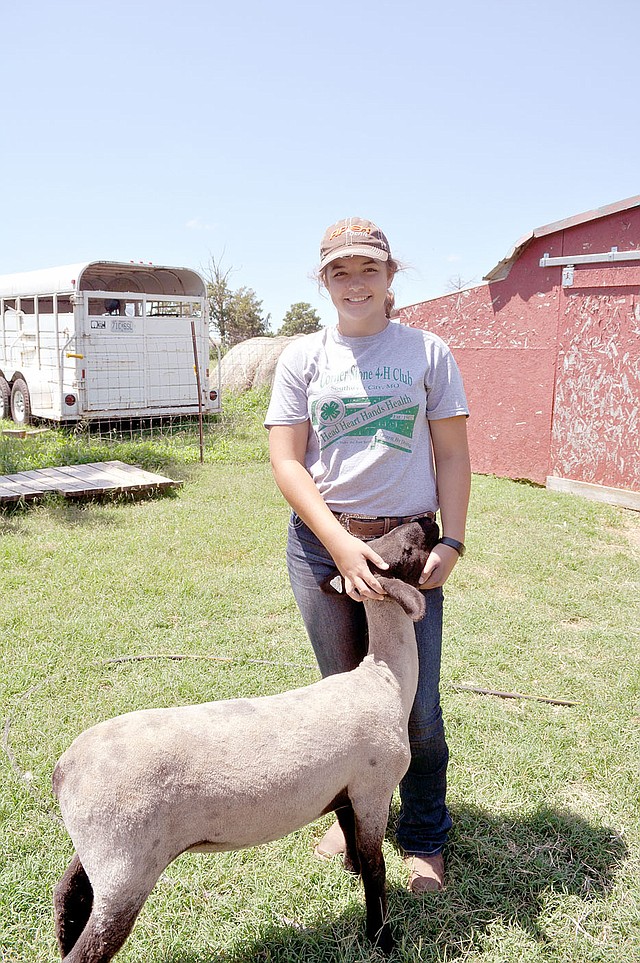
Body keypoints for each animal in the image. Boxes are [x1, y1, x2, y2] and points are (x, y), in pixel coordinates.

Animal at [52, 520, 438, 963]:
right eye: (406, 549)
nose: (428, 521)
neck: (385, 680)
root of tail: (63, 771)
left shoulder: (343, 788)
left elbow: (349, 834)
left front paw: (349, 871)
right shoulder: (373, 788)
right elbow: (377, 869)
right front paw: (382, 938)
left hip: (99, 852)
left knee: (67, 894)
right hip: (126, 866)